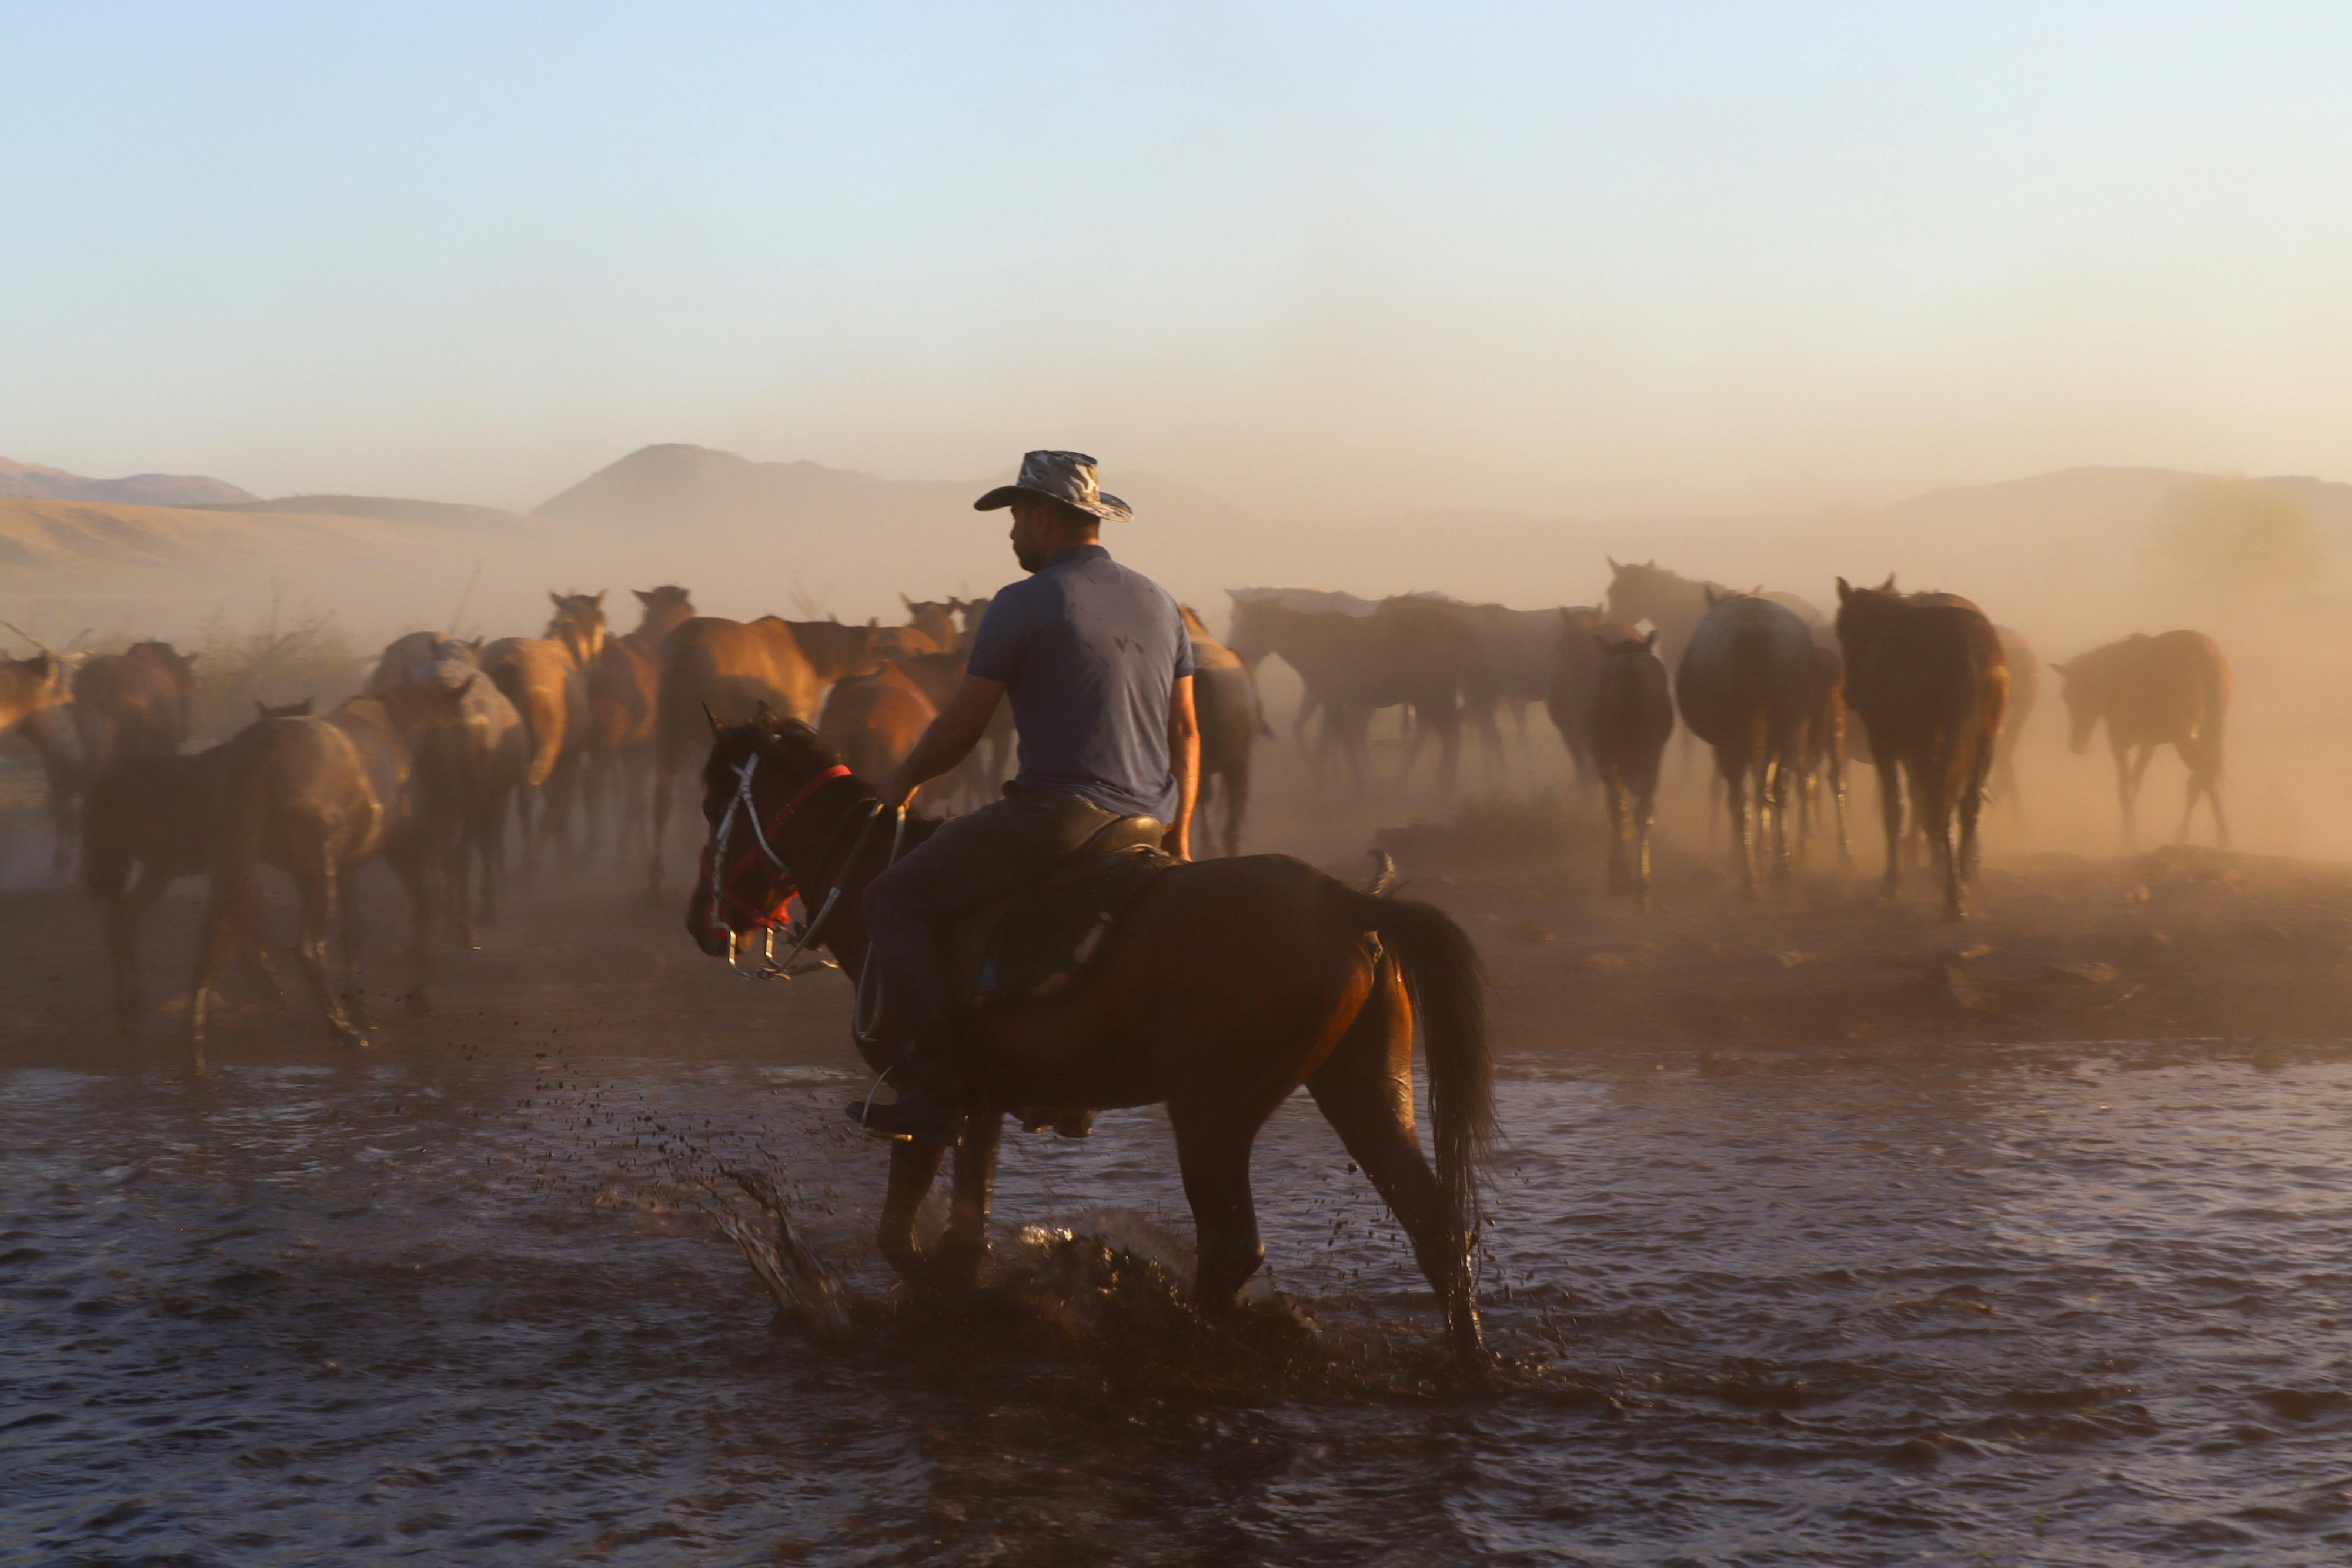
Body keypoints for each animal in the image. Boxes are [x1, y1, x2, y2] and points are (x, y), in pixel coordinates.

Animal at [682, 710, 1496, 1363]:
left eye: (714, 803)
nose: (699, 922)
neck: (875, 888)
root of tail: (1348, 902)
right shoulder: (979, 1105)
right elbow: (961, 1236)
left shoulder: (919, 1100)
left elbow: (899, 1238)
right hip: (1364, 1090)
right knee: (1435, 1229)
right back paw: (1468, 1359)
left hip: (1212, 1114)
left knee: (1231, 1249)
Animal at [1581, 630, 1675, 912]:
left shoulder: (1606, 759)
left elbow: (1616, 809)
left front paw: (1617, 874)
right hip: (1651, 754)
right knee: (1643, 810)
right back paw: (1643, 886)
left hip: (1612, 757)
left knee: (1620, 807)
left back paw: (1623, 880)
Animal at [2051, 630, 2230, 851]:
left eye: (2070, 696)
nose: (2076, 745)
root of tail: (2205, 654)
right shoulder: (2148, 745)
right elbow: (2135, 784)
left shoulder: (2119, 742)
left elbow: (2125, 790)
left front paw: (2127, 844)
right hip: (2207, 735)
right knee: (2200, 781)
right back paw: (2189, 837)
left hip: (2185, 738)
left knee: (2203, 774)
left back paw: (2219, 837)